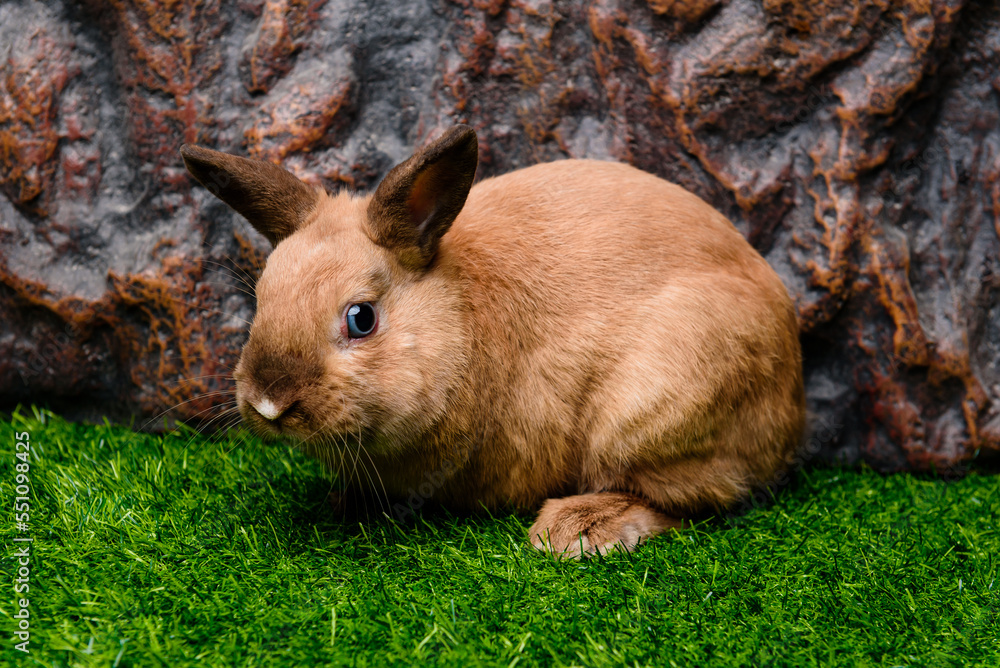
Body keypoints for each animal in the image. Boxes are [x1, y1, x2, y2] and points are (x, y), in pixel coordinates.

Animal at [180, 125, 805, 559]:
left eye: (361, 319)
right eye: (261, 298)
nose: (268, 402)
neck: (461, 318)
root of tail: (791, 402)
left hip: (650, 412)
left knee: (700, 498)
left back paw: (576, 530)